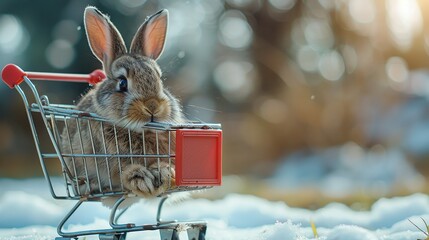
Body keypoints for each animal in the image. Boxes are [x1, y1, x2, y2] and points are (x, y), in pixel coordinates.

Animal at [59, 6, 183, 200]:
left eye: (159, 80)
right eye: (122, 83)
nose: (153, 106)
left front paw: (164, 173)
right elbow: (123, 173)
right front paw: (140, 179)